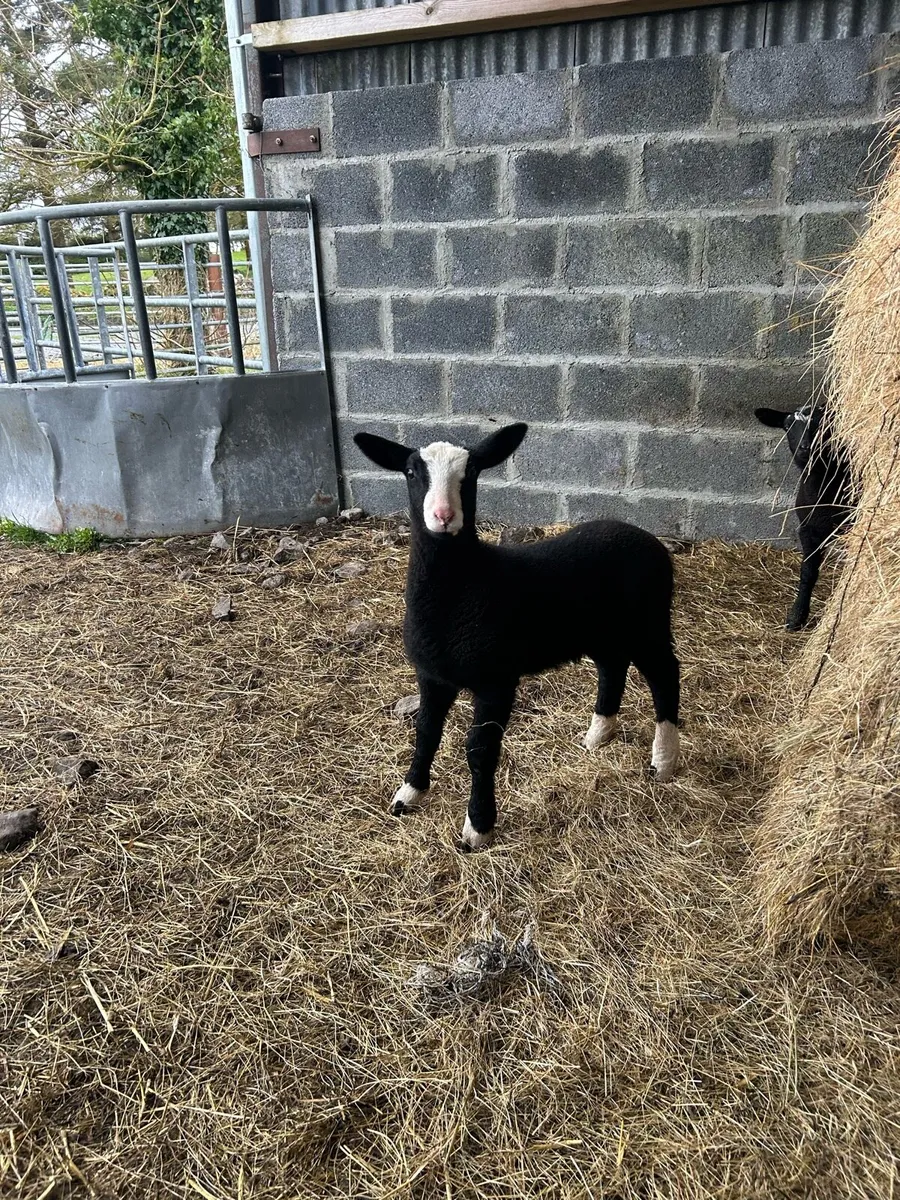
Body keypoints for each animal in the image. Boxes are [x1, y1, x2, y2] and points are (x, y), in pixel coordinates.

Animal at [353, 422, 680, 851]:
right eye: (410, 472)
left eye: (473, 471)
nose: (443, 516)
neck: (465, 587)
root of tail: (646, 538)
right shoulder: (432, 675)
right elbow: (426, 732)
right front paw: (408, 794)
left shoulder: (496, 681)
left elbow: (479, 751)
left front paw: (477, 828)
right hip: (603, 630)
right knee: (613, 666)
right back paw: (597, 735)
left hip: (648, 623)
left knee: (665, 675)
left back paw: (663, 761)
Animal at [755, 404, 855, 631]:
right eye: (787, 426)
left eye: (825, 422)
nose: (805, 447)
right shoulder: (808, 529)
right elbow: (808, 572)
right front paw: (796, 617)